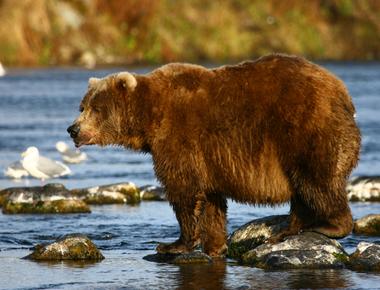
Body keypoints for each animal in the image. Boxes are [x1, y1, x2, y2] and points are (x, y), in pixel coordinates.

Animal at [67, 54, 360, 258]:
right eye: (82, 106)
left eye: (95, 108)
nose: (73, 129)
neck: (149, 119)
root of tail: (342, 92)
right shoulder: (208, 158)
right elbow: (211, 199)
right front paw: (215, 246)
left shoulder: (179, 137)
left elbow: (183, 190)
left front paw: (173, 244)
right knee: (302, 189)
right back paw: (285, 231)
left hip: (304, 129)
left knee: (317, 180)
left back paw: (329, 226)